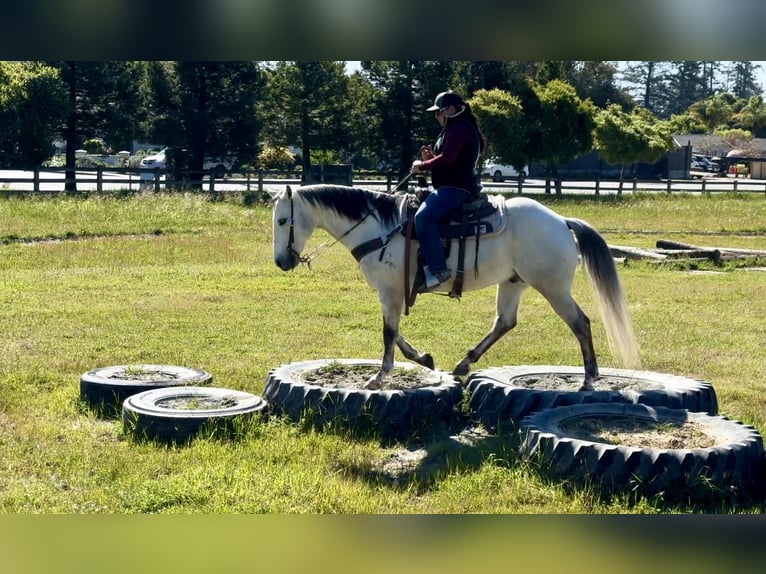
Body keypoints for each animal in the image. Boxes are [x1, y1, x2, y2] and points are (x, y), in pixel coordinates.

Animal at [272, 184, 640, 392]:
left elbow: (388, 333)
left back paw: (589, 378)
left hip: (553, 289)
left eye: (282, 220)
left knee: (580, 323)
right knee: (505, 322)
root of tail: (562, 221)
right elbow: (396, 332)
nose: (281, 262)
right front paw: (424, 358)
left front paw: (378, 377)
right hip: (513, 283)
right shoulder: (392, 293)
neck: (381, 227)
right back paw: (464, 364)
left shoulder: (390, 291)